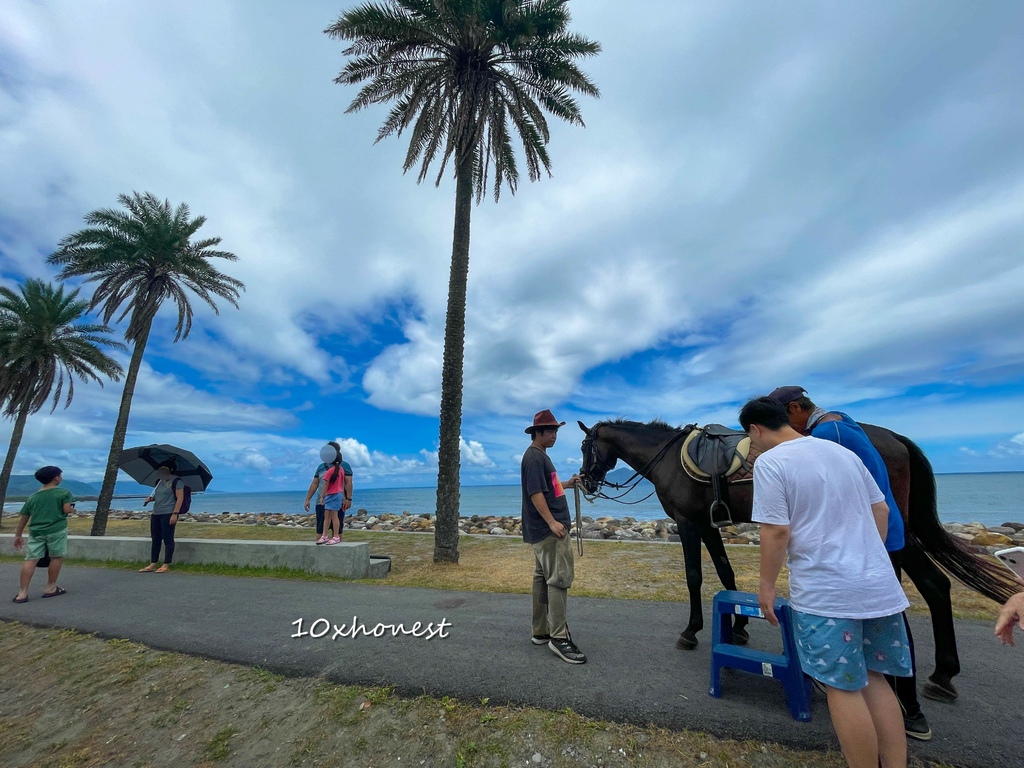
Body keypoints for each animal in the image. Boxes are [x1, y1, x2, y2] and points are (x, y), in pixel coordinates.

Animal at [581, 421, 1019, 704]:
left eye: (586, 448)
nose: (585, 480)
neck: (670, 457)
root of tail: (893, 437)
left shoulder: (689, 524)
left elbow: (694, 577)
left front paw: (691, 631)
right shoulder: (708, 525)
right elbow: (725, 572)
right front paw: (738, 627)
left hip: (898, 531)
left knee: (934, 584)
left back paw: (940, 675)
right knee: (933, 586)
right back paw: (941, 674)